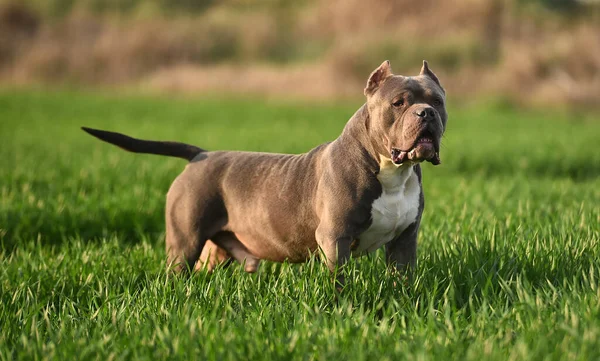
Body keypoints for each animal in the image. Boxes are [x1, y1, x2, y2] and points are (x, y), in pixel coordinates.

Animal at [85, 59, 450, 284]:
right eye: (399, 103)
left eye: (438, 101)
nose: (426, 113)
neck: (393, 171)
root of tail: (200, 155)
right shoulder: (335, 239)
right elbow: (339, 283)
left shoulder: (404, 241)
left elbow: (402, 280)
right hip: (184, 241)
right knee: (177, 269)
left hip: (215, 249)